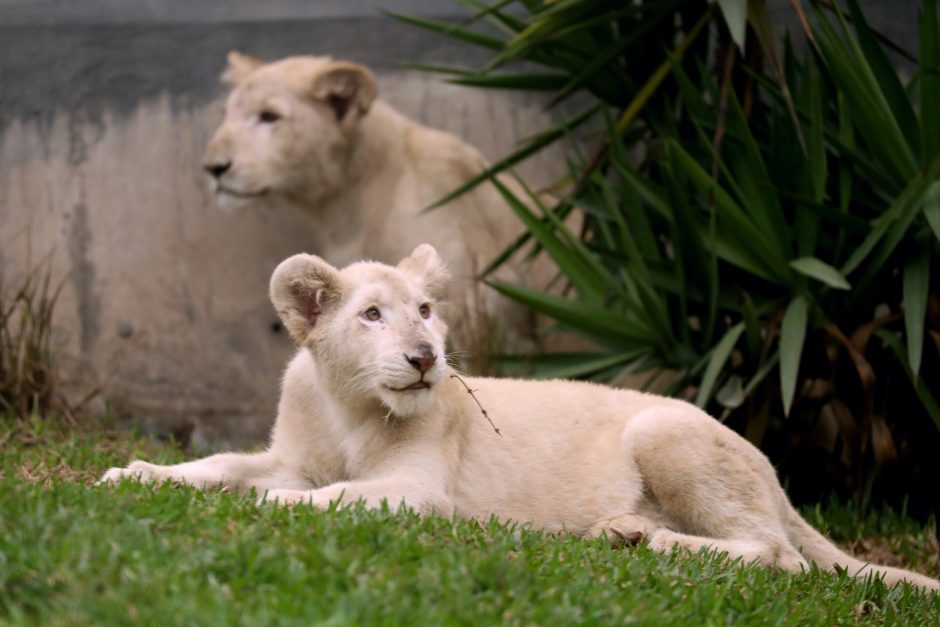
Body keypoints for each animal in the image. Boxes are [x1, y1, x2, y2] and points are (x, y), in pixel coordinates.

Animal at [101, 245, 940, 592]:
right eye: (372, 314)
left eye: (425, 310)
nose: (425, 357)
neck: (350, 405)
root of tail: (769, 467)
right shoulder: (289, 451)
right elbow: (220, 466)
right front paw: (131, 474)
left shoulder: (421, 492)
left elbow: (321, 496)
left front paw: (273, 503)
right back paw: (625, 531)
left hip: (665, 434)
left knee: (777, 553)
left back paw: (643, 538)